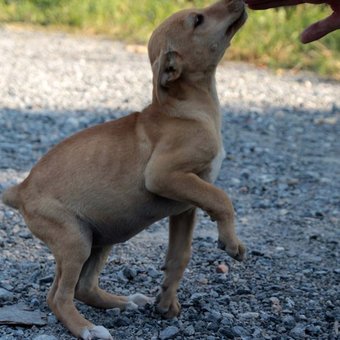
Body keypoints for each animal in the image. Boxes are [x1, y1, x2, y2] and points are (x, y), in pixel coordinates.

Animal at [1, 1, 247, 338]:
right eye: (198, 19)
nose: (239, 2)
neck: (188, 109)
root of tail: (20, 189)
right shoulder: (164, 176)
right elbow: (222, 199)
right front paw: (232, 243)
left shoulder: (185, 207)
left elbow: (179, 255)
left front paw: (166, 303)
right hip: (74, 239)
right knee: (58, 297)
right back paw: (88, 328)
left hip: (100, 237)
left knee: (83, 288)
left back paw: (124, 302)